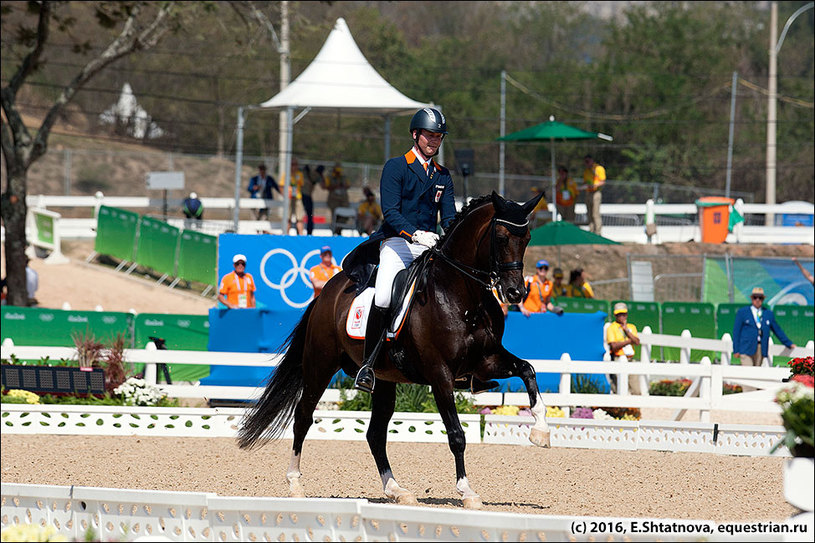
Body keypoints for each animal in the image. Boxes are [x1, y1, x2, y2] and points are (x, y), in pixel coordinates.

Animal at [239, 190, 552, 510]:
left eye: (527, 238)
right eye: (501, 237)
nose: (516, 293)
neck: (462, 296)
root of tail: (327, 291)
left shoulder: (485, 362)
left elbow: (528, 369)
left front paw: (540, 431)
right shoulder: (440, 375)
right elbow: (456, 435)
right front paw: (467, 491)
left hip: (384, 380)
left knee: (375, 434)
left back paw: (396, 490)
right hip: (319, 364)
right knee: (303, 417)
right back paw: (295, 485)